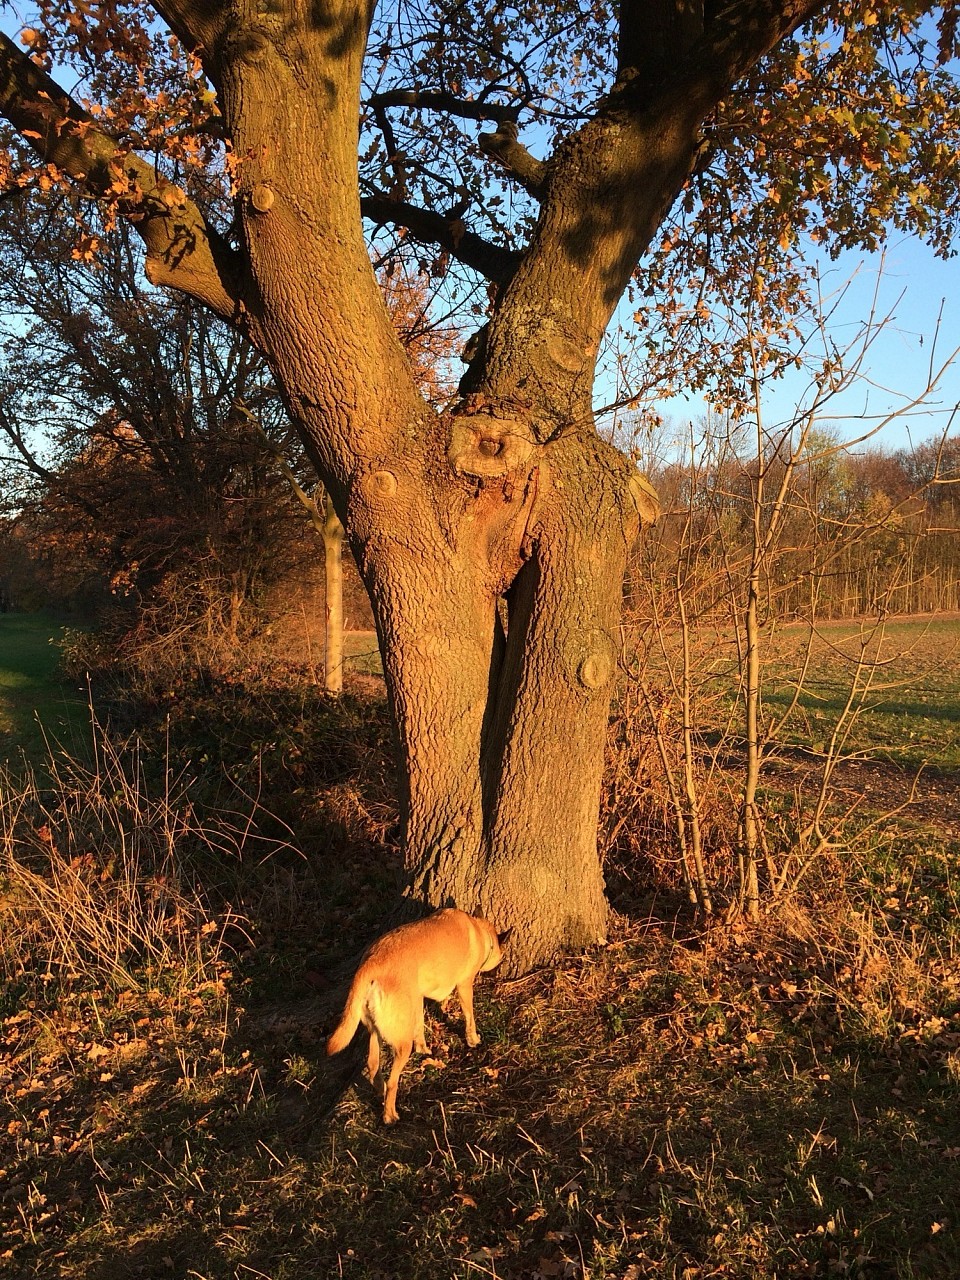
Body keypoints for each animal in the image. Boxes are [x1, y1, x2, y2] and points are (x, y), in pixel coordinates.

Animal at [327, 911, 512, 1121]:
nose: (498, 972)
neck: (479, 930)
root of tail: (370, 965)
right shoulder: (464, 986)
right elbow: (469, 1016)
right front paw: (473, 1039)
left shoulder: (418, 998)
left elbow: (419, 1025)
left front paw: (423, 1048)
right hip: (401, 1044)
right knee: (393, 1082)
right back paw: (390, 1115)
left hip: (376, 1030)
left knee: (373, 1064)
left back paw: (380, 1089)